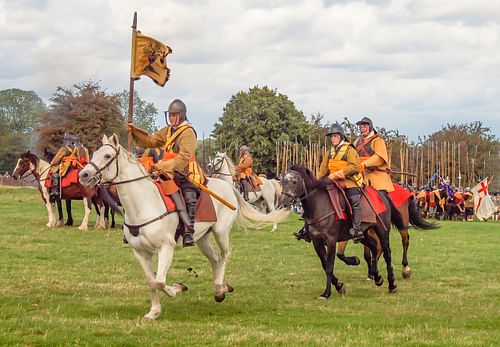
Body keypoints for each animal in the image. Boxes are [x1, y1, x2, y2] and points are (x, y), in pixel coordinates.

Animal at [79, 135, 290, 320]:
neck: (143, 204)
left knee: (225, 255)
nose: (84, 175)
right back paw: (219, 287)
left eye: (107, 156)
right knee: (215, 259)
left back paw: (220, 288)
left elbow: (160, 281)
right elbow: (152, 282)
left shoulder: (166, 248)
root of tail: (228, 187)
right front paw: (154, 312)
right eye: (94, 153)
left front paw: (177, 288)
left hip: (222, 231)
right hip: (202, 237)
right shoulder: (140, 252)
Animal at [276, 165, 396, 300]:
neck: (319, 206)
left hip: (382, 231)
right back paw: (377, 277)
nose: (282, 204)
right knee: (374, 247)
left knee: (387, 254)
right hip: (363, 234)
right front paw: (339, 286)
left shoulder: (331, 240)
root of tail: (382, 194)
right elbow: (324, 265)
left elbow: (329, 266)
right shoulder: (317, 241)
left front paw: (326, 293)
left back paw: (391, 285)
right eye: (282, 182)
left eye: (294, 182)